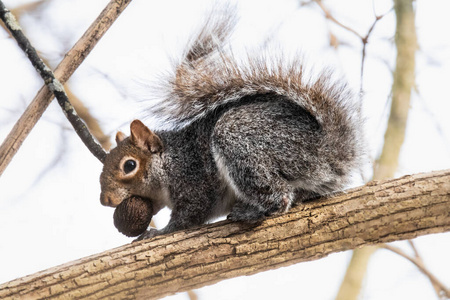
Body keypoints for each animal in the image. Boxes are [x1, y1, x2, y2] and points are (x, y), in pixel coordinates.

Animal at [99, 11, 366, 239]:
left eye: (129, 165)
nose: (105, 200)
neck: (170, 161)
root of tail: (328, 149)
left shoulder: (193, 183)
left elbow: (188, 216)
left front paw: (160, 232)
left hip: (240, 140)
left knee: (279, 197)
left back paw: (251, 211)